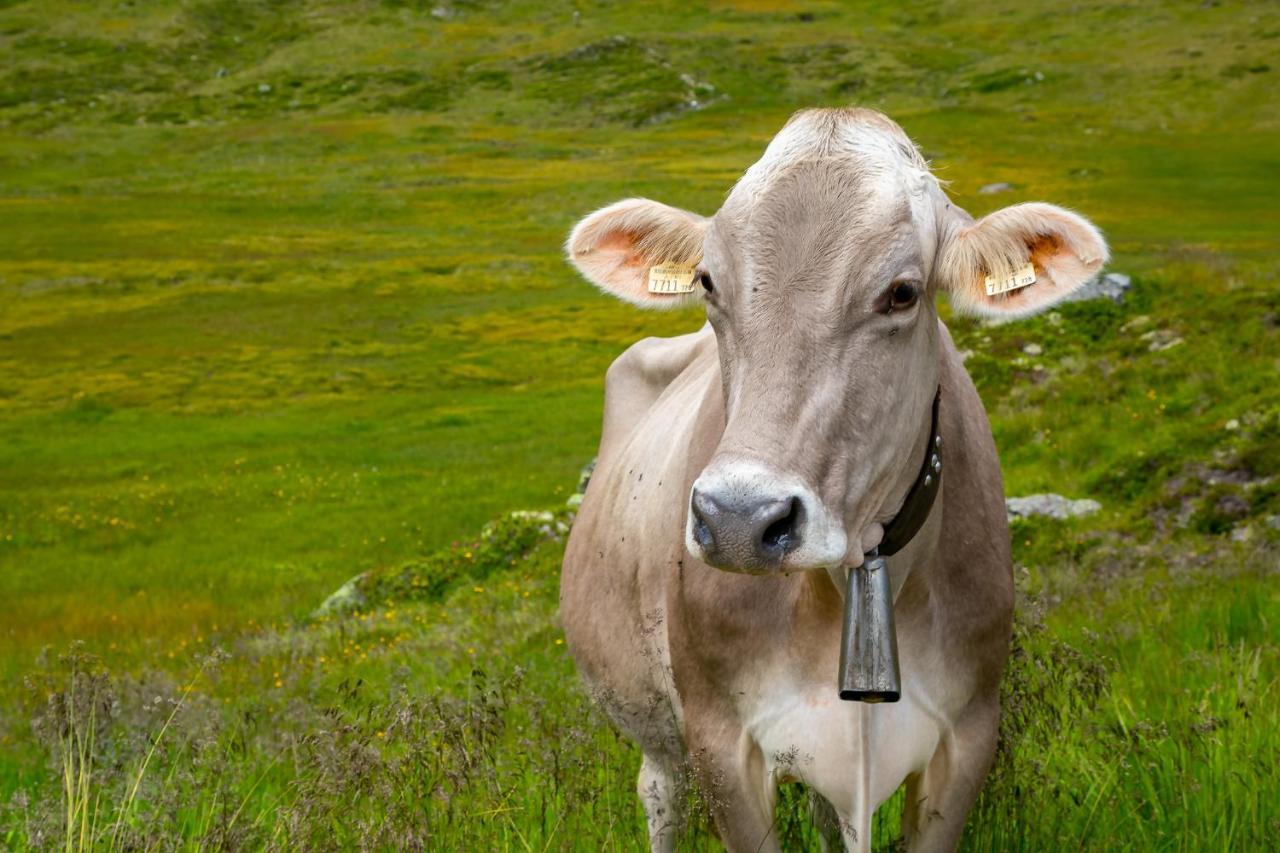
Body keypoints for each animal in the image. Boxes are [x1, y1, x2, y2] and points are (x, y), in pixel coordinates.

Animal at [560, 108, 1111, 850]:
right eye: (707, 283)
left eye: (903, 293)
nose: (739, 519)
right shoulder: (719, 739)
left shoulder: (968, 734)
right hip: (653, 726)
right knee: (659, 794)